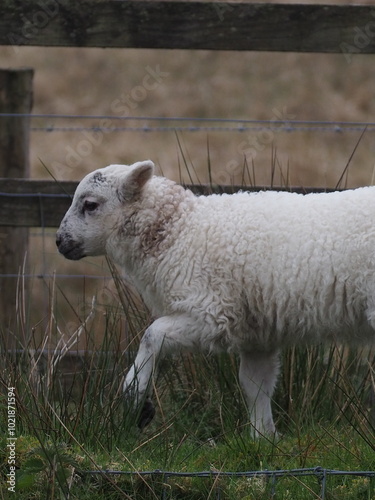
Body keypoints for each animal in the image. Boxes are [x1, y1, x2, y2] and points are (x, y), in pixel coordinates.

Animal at [55, 161, 375, 438]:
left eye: (90, 205)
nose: (59, 241)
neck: (178, 231)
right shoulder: (257, 332)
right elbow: (254, 384)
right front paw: (262, 438)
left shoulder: (212, 315)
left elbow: (151, 335)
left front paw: (137, 399)